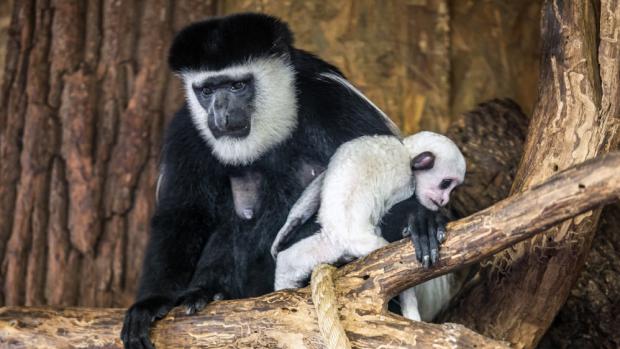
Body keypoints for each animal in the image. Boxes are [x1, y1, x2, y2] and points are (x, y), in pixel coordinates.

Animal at [272, 131, 464, 320]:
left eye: (452, 189)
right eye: (446, 184)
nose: (444, 200)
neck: (406, 152)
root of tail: (347, 236)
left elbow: (318, 183)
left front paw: (285, 232)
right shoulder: (405, 180)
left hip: (323, 247)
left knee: (287, 263)